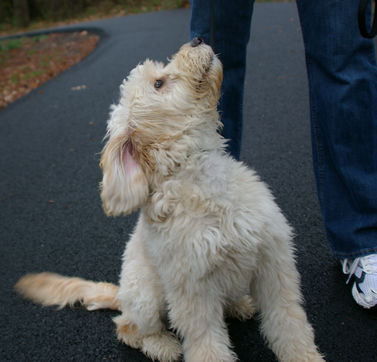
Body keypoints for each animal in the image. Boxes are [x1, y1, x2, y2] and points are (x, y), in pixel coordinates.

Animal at [15, 39, 324, 362]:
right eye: (159, 83)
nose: (196, 40)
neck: (197, 173)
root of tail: (120, 293)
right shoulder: (193, 290)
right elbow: (206, 345)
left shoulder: (273, 265)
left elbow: (288, 322)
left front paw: (305, 356)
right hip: (145, 299)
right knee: (129, 328)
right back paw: (162, 346)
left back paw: (238, 304)